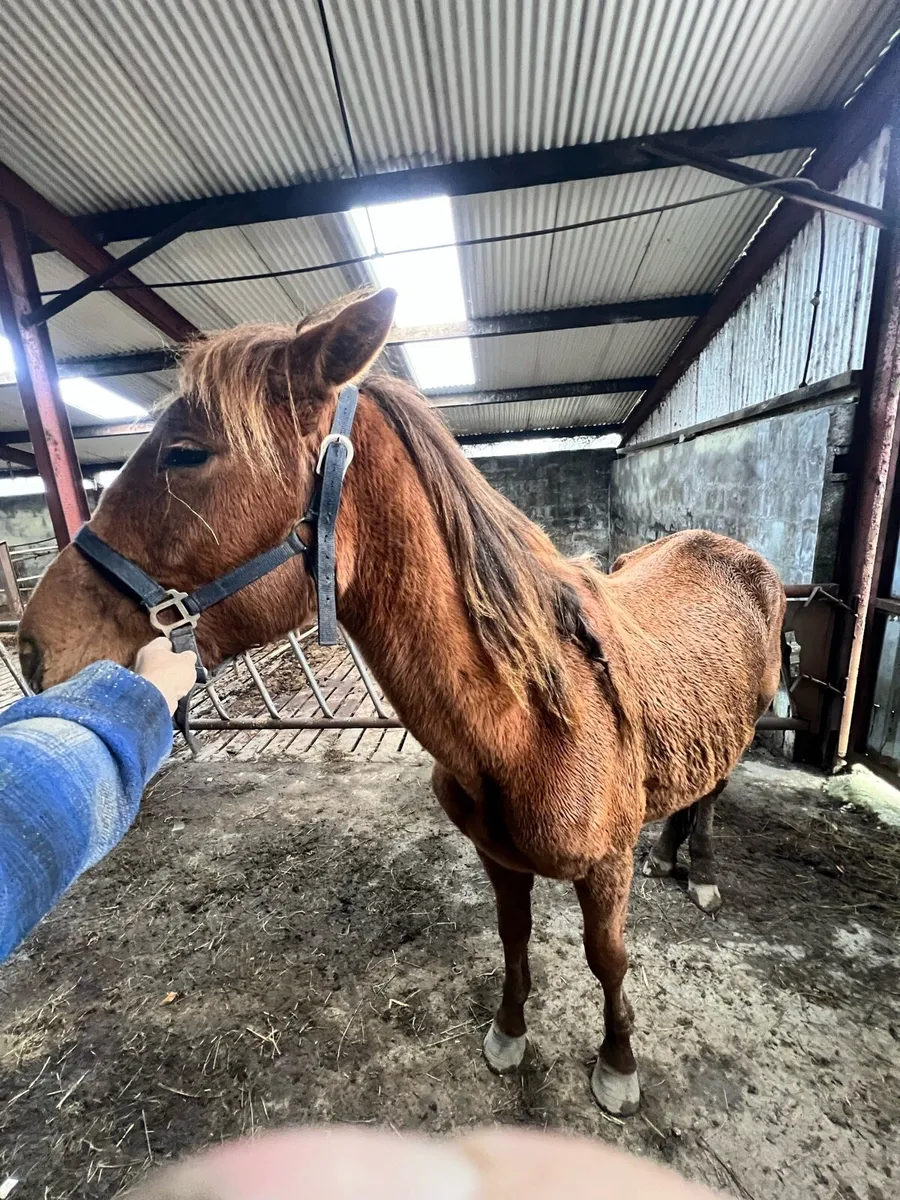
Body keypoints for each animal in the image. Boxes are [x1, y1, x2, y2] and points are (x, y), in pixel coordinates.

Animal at [18, 287, 785, 1116]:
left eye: (187, 453)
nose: (31, 648)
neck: (534, 724)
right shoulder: (497, 857)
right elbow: (513, 937)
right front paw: (509, 1032)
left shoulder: (604, 867)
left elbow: (607, 959)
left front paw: (617, 1064)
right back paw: (670, 853)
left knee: (713, 796)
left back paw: (697, 870)